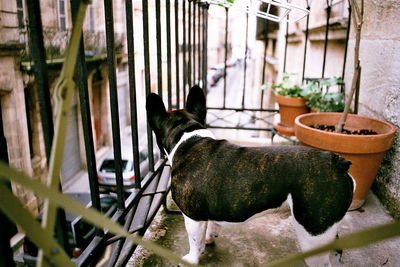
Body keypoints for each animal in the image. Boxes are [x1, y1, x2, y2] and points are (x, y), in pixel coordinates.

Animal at [146, 86, 354, 267]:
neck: (188, 137)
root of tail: (337, 163)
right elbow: (211, 226)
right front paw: (209, 238)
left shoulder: (193, 217)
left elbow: (195, 241)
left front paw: (192, 258)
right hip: (327, 229)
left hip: (313, 233)